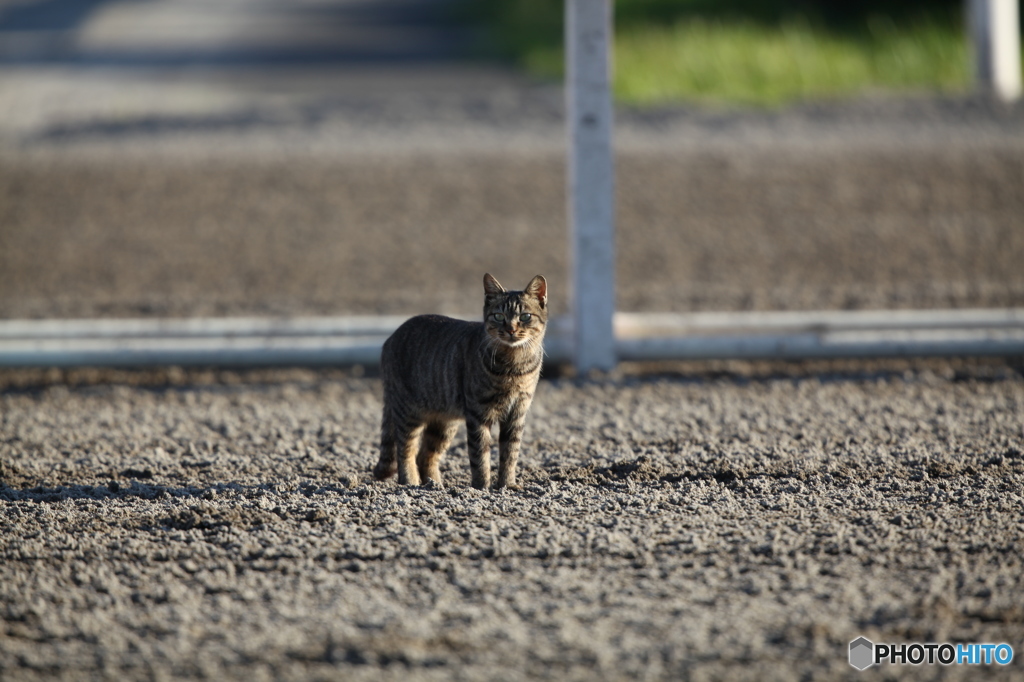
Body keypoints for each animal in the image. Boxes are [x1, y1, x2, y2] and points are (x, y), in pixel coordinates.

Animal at [372, 274, 548, 491]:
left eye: (525, 317)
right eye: (499, 316)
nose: (511, 330)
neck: (514, 365)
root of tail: (391, 336)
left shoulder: (517, 412)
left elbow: (510, 454)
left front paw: (507, 484)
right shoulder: (478, 414)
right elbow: (479, 455)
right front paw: (481, 486)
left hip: (444, 423)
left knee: (425, 456)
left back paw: (434, 485)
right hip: (408, 413)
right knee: (405, 450)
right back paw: (410, 482)